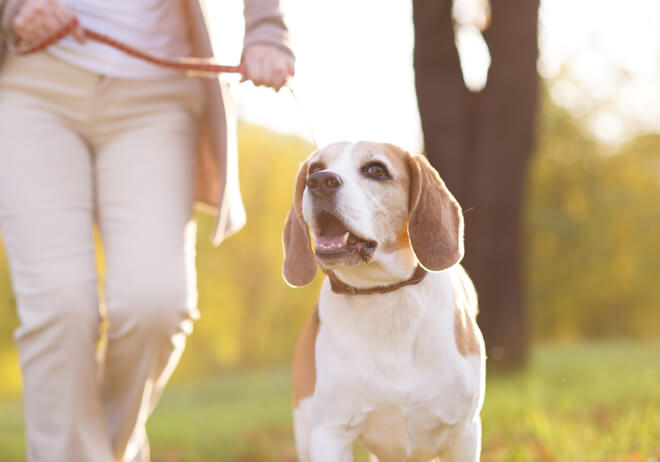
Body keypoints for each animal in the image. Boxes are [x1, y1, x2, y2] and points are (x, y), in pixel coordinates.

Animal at [282, 142, 484, 462]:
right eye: (315, 168)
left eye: (376, 170)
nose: (320, 181)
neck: (384, 293)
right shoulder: (330, 433)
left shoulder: (464, 433)